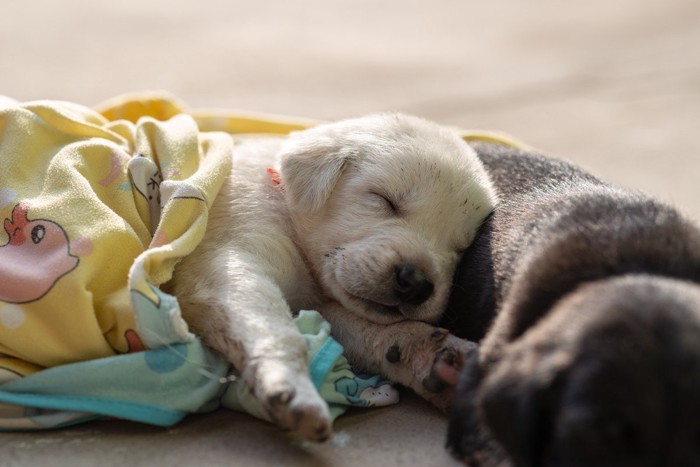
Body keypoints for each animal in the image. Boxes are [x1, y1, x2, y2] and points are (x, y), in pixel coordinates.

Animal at [170, 113, 498, 442]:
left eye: (461, 248)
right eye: (385, 200)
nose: (416, 284)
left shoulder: (321, 305)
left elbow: (364, 329)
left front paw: (439, 359)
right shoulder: (226, 256)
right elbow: (272, 324)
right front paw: (290, 387)